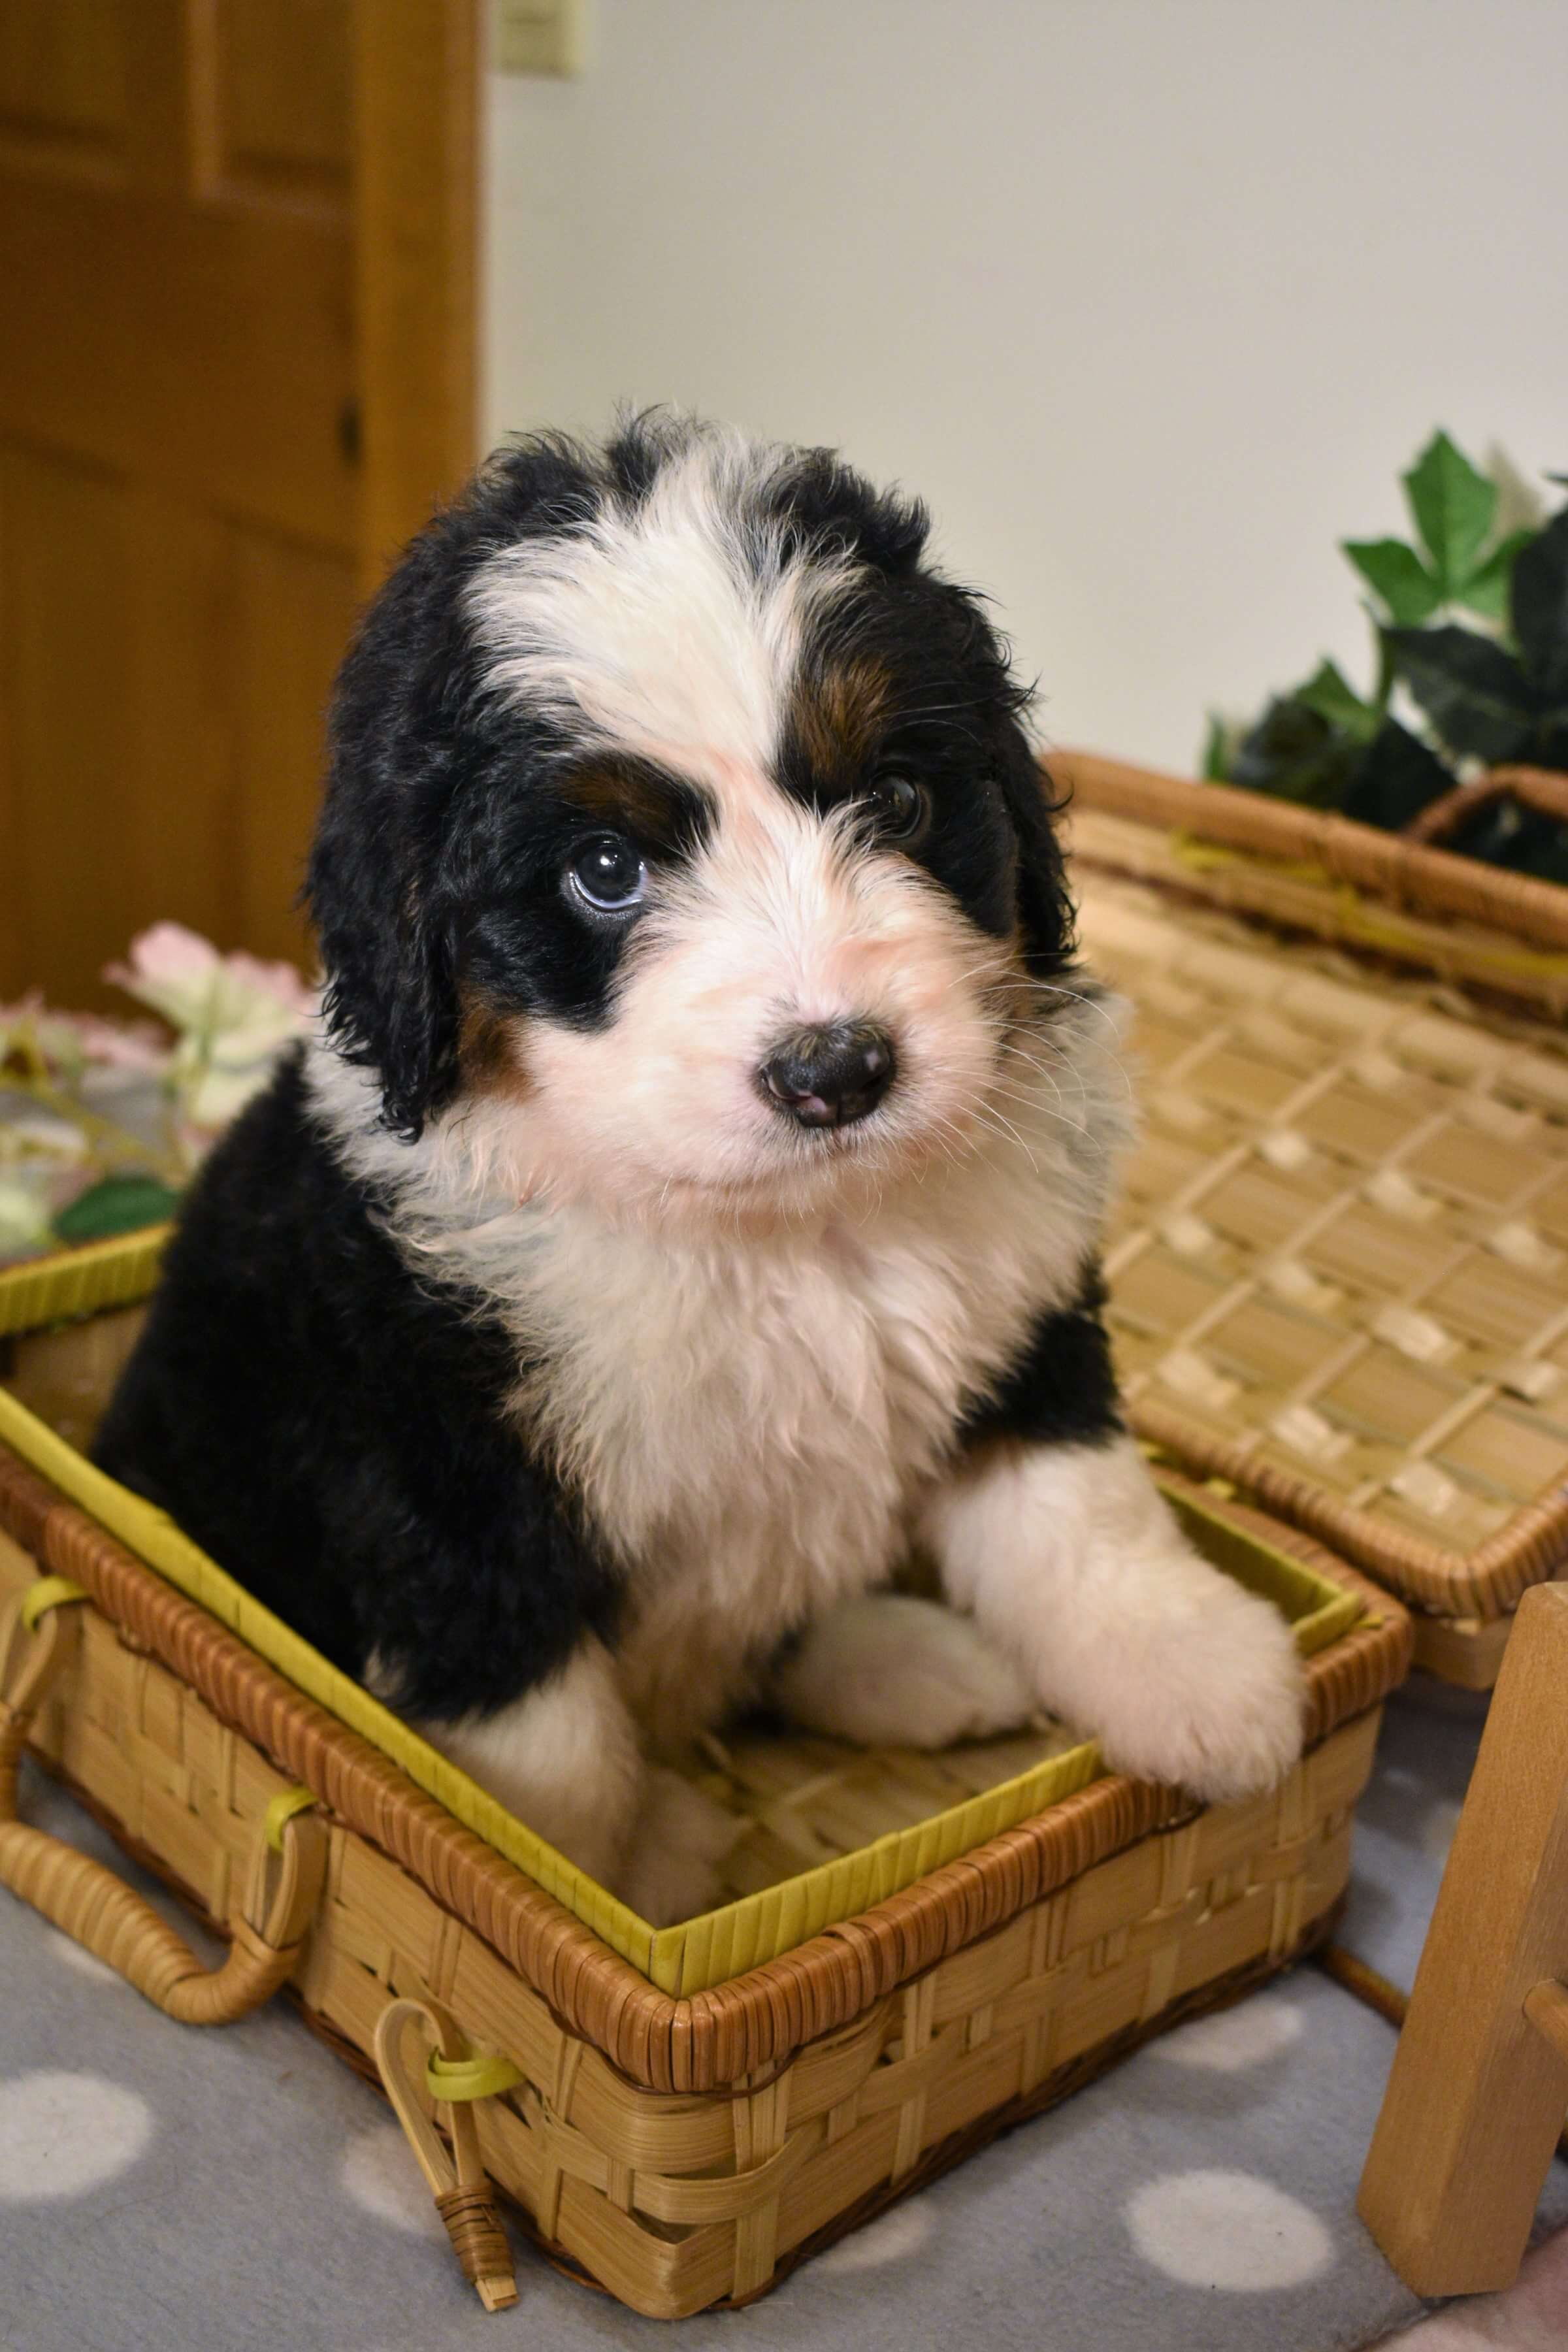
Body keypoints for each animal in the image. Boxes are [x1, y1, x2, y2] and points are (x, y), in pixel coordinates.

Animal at [92, 423, 1307, 1919]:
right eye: (607, 867)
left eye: (896, 798)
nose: (837, 1070)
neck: (781, 1230)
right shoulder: (442, 1478)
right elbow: (548, 1749)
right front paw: (581, 1883)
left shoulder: (1021, 1313)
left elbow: (1078, 1499)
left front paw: (1198, 1673)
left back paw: (914, 1663)